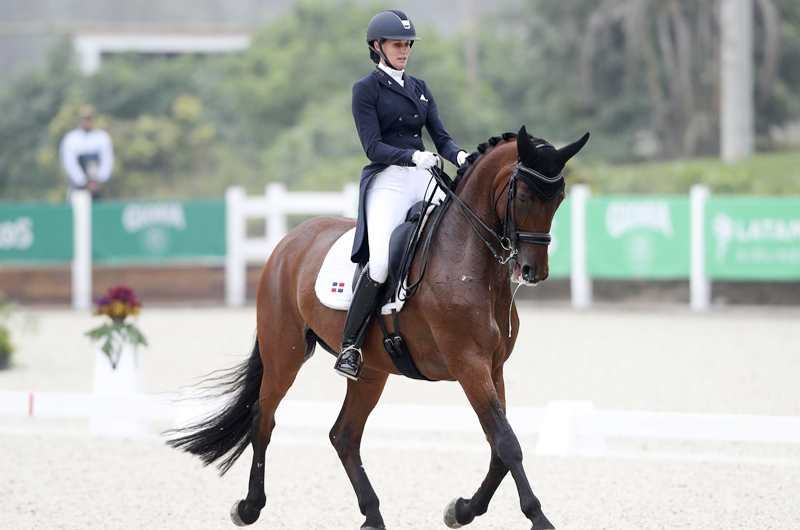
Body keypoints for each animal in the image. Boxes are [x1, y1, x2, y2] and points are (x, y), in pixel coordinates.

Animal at [167, 126, 588, 524]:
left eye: (559, 198)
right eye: (524, 196)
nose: (533, 272)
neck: (468, 261)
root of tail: (289, 240)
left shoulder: (492, 366)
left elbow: (498, 446)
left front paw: (462, 510)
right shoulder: (469, 365)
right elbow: (507, 443)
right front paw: (537, 517)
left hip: (370, 371)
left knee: (344, 435)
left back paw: (372, 515)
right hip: (283, 355)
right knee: (263, 421)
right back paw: (250, 506)